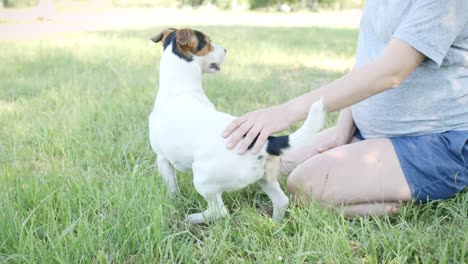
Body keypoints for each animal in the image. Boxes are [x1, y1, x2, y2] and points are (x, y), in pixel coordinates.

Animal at [148, 28, 324, 223]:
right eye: (209, 42)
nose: (226, 50)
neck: (180, 88)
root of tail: (265, 142)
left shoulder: (162, 159)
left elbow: (172, 188)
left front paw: (174, 202)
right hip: (266, 178)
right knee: (281, 200)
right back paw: (275, 224)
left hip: (203, 178)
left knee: (219, 211)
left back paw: (193, 218)